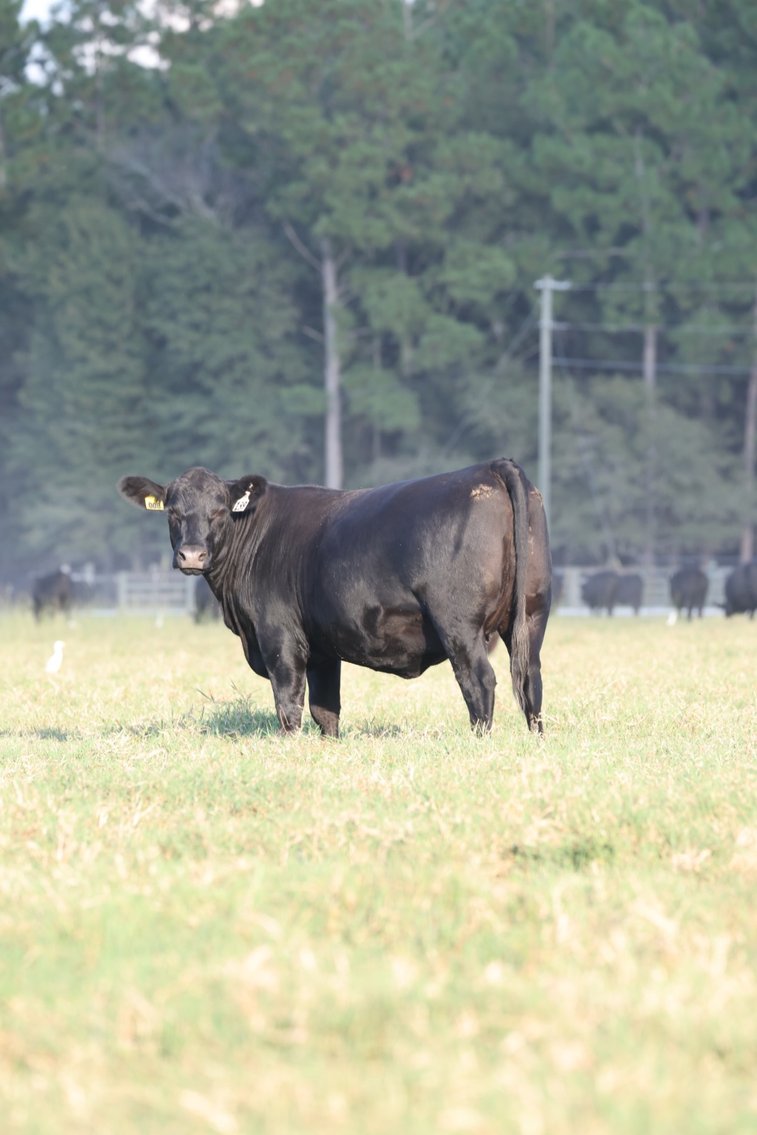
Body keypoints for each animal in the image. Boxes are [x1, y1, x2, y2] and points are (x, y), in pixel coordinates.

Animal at [118, 460, 552, 738]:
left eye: (220, 511)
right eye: (172, 512)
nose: (191, 555)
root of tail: (490, 467)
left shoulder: (279, 636)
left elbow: (289, 701)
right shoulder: (324, 649)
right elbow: (325, 709)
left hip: (459, 624)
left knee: (479, 681)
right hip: (531, 615)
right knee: (530, 680)